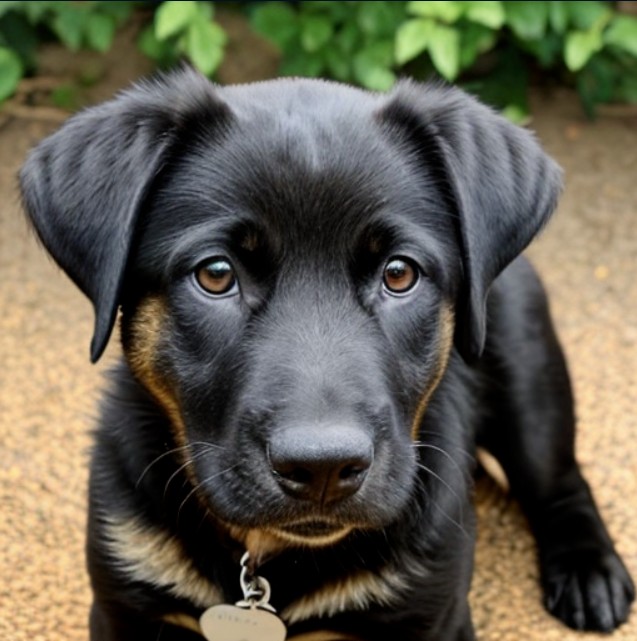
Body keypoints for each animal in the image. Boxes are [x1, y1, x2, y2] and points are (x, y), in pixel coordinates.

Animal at [18, 67, 632, 636]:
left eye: (399, 273)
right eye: (216, 274)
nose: (322, 469)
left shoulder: (434, 614)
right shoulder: (124, 596)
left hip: (528, 372)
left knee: (560, 479)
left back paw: (590, 571)